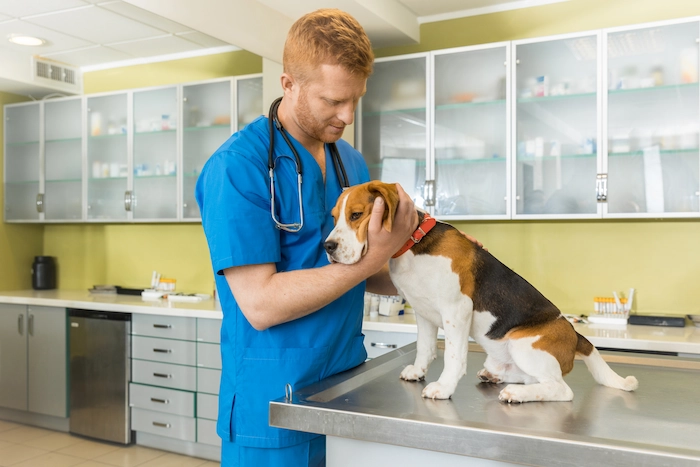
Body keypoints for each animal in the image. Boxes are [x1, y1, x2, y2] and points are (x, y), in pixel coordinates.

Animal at [326, 182, 636, 402]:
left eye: (356, 215)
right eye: (334, 217)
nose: (327, 246)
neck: (415, 244)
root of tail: (575, 335)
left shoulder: (456, 311)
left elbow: (453, 356)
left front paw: (443, 388)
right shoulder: (423, 313)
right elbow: (425, 348)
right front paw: (418, 371)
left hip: (523, 344)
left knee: (561, 389)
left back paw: (518, 395)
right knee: (539, 379)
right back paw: (498, 379)